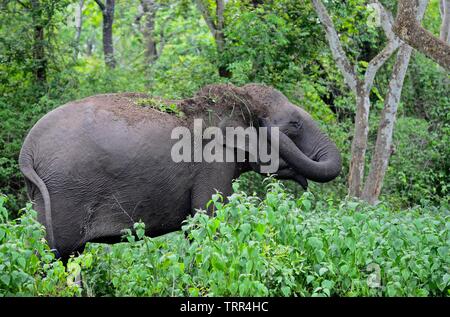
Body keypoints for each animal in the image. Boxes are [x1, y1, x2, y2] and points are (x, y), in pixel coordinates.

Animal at [18, 83, 342, 260]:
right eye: (295, 125)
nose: (302, 183)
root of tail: (27, 150)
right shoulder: (213, 163)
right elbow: (207, 222)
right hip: (66, 193)